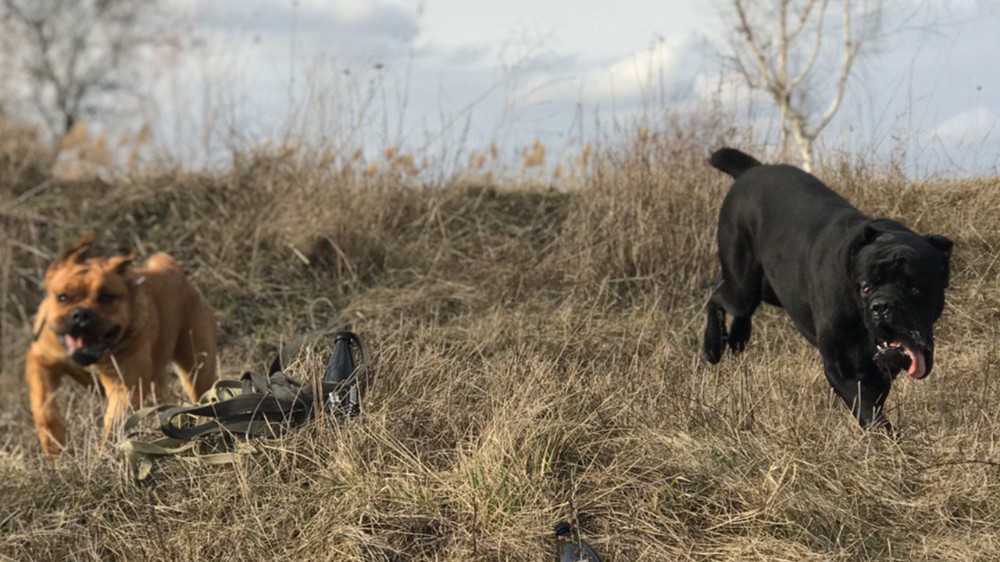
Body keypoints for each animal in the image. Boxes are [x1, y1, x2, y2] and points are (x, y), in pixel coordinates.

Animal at [24, 233, 217, 456]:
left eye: (106, 297)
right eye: (62, 297)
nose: (81, 315)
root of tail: (172, 267)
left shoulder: (125, 387)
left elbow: (115, 422)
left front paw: (106, 453)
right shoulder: (41, 361)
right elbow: (44, 406)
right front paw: (55, 443)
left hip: (196, 365)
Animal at [704, 147, 952, 426]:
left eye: (915, 288)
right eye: (865, 287)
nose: (881, 307)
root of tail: (752, 169)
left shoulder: (876, 371)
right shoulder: (841, 365)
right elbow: (865, 408)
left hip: (766, 290)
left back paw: (737, 339)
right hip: (742, 285)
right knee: (717, 295)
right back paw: (712, 347)